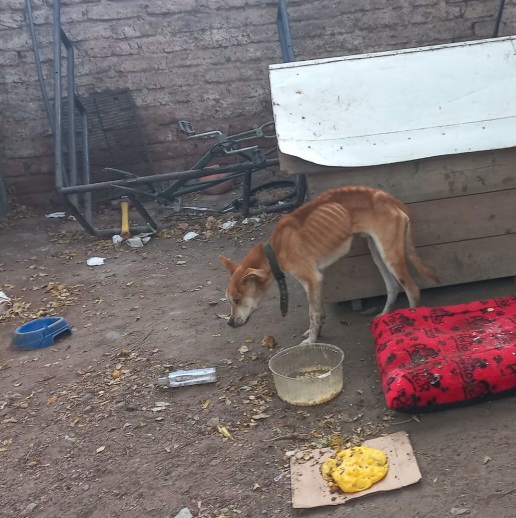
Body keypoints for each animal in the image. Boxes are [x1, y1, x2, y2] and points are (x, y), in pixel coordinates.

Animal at [219, 187, 440, 346]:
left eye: (237, 300)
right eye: (229, 300)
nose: (229, 323)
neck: (276, 248)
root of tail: (386, 196)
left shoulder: (311, 278)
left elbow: (312, 313)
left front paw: (312, 339)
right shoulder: (318, 278)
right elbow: (318, 309)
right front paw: (316, 330)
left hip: (390, 255)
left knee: (412, 290)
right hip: (377, 252)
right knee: (393, 288)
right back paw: (383, 317)